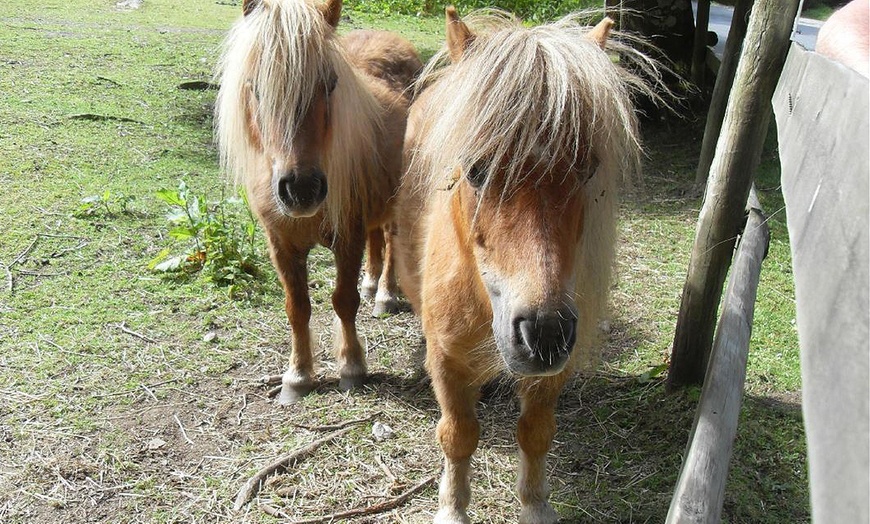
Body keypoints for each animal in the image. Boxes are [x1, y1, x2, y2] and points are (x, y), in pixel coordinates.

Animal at [217, 0, 422, 404]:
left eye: (329, 83)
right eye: (257, 87)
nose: (302, 189)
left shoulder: (347, 237)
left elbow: (343, 300)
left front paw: (352, 367)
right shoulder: (281, 245)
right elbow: (297, 308)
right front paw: (297, 376)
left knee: (390, 243)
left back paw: (385, 295)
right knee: (377, 241)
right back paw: (372, 283)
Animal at [396, 8, 660, 524]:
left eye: (586, 168)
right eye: (476, 170)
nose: (544, 331)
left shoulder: (550, 373)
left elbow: (536, 433)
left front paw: (536, 505)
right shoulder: (447, 360)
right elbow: (457, 436)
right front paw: (452, 508)